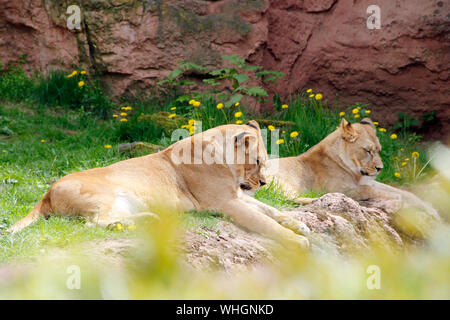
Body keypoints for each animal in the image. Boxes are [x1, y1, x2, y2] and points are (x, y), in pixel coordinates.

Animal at [7, 121, 310, 249]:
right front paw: (298, 241)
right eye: (257, 161)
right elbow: (264, 221)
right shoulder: (225, 202)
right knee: (92, 224)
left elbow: (270, 210)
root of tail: (46, 193)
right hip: (103, 195)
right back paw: (140, 222)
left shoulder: (236, 196)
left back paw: (149, 219)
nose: (263, 182)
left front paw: (300, 225)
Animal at [268, 117, 440, 222]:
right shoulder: (343, 188)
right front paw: (399, 200)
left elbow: (407, 193)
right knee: (284, 198)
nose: (380, 168)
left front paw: (430, 209)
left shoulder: (369, 181)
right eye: (368, 151)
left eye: (378, 150)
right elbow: (378, 191)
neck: (355, 172)